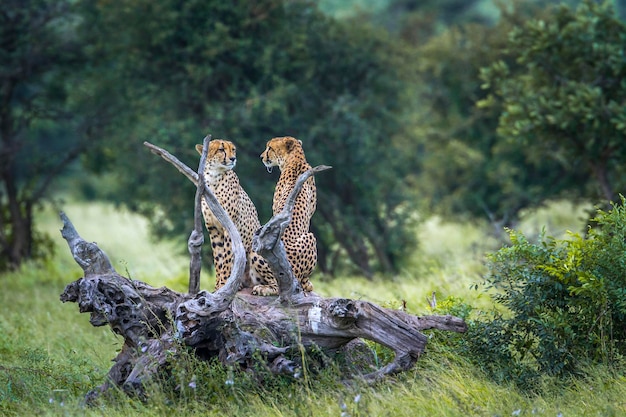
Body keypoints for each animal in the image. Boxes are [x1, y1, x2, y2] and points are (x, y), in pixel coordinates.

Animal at [195, 138, 272, 290]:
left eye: (233, 150)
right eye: (221, 149)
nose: (233, 158)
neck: (214, 176)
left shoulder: (229, 228)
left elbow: (226, 259)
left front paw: (224, 284)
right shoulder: (213, 229)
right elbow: (218, 259)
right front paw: (218, 287)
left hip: (255, 251)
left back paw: (264, 289)